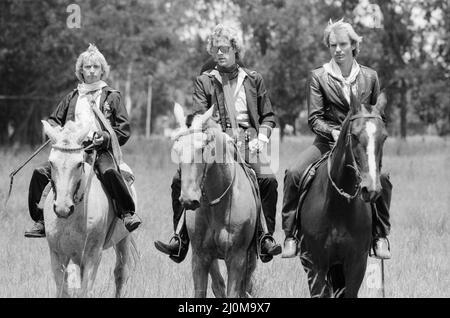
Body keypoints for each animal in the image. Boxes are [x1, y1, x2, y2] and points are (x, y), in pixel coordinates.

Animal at [42, 120, 137, 298]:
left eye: (79, 163)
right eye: (51, 162)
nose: (63, 208)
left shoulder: (93, 255)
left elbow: (85, 291)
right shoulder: (57, 255)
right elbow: (62, 290)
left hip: (123, 239)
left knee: (120, 273)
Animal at [171, 105, 256, 296]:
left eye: (202, 148)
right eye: (177, 149)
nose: (188, 200)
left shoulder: (237, 258)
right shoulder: (200, 257)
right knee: (218, 283)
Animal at [298, 92, 386, 298]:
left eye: (384, 137)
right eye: (354, 135)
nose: (371, 189)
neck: (338, 207)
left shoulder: (356, 264)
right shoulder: (316, 264)